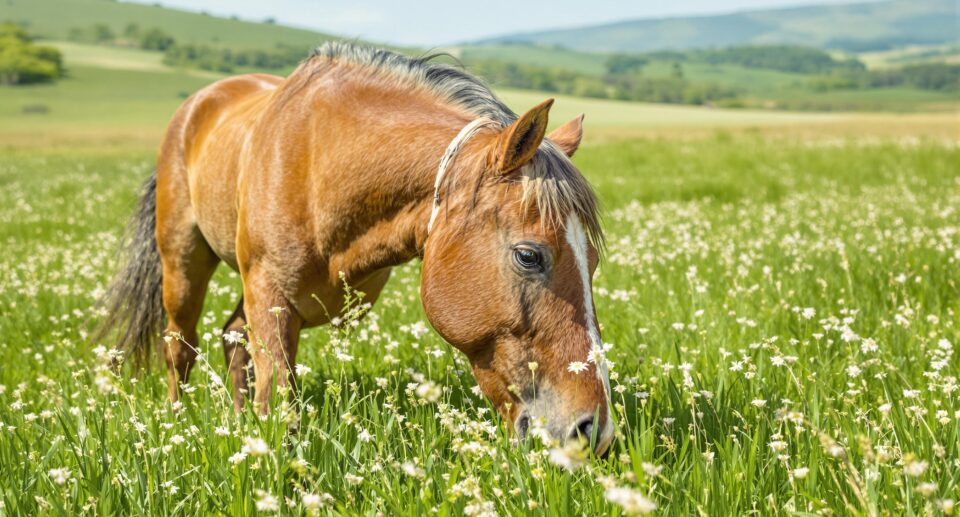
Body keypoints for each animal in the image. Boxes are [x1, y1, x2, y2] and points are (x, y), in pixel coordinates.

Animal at [101, 42, 616, 454]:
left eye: (591, 262)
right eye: (529, 256)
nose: (594, 431)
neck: (320, 169)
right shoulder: (270, 300)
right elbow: (278, 404)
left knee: (230, 337)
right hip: (183, 263)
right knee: (179, 347)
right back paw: (176, 424)